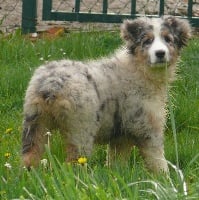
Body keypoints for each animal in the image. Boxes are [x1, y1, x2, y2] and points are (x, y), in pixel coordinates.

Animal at [21, 15, 191, 173]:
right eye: (147, 41)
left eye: (168, 39)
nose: (160, 53)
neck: (138, 68)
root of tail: (52, 83)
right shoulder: (147, 127)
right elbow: (157, 159)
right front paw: (166, 179)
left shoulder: (121, 135)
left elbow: (116, 162)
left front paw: (117, 176)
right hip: (80, 128)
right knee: (73, 163)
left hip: (34, 122)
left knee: (29, 157)